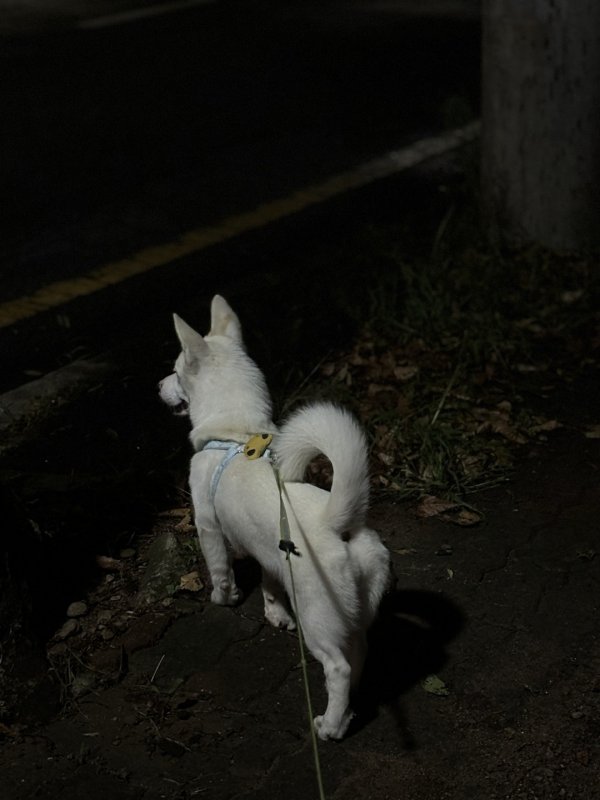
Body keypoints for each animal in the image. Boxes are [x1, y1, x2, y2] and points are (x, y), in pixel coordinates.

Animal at [161, 294, 394, 736]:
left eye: (177, 371)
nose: (157, 385)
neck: (236, 433)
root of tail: (337, 524)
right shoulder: (268, 553)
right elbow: (269, 584)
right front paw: (273, 613)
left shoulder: (208, 526)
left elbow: (220, 570)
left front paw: (224, 598)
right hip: (357, 611)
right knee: (360, 652)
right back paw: (348, 709)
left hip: (317, 618)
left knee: (337, 667)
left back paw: (330, 726)